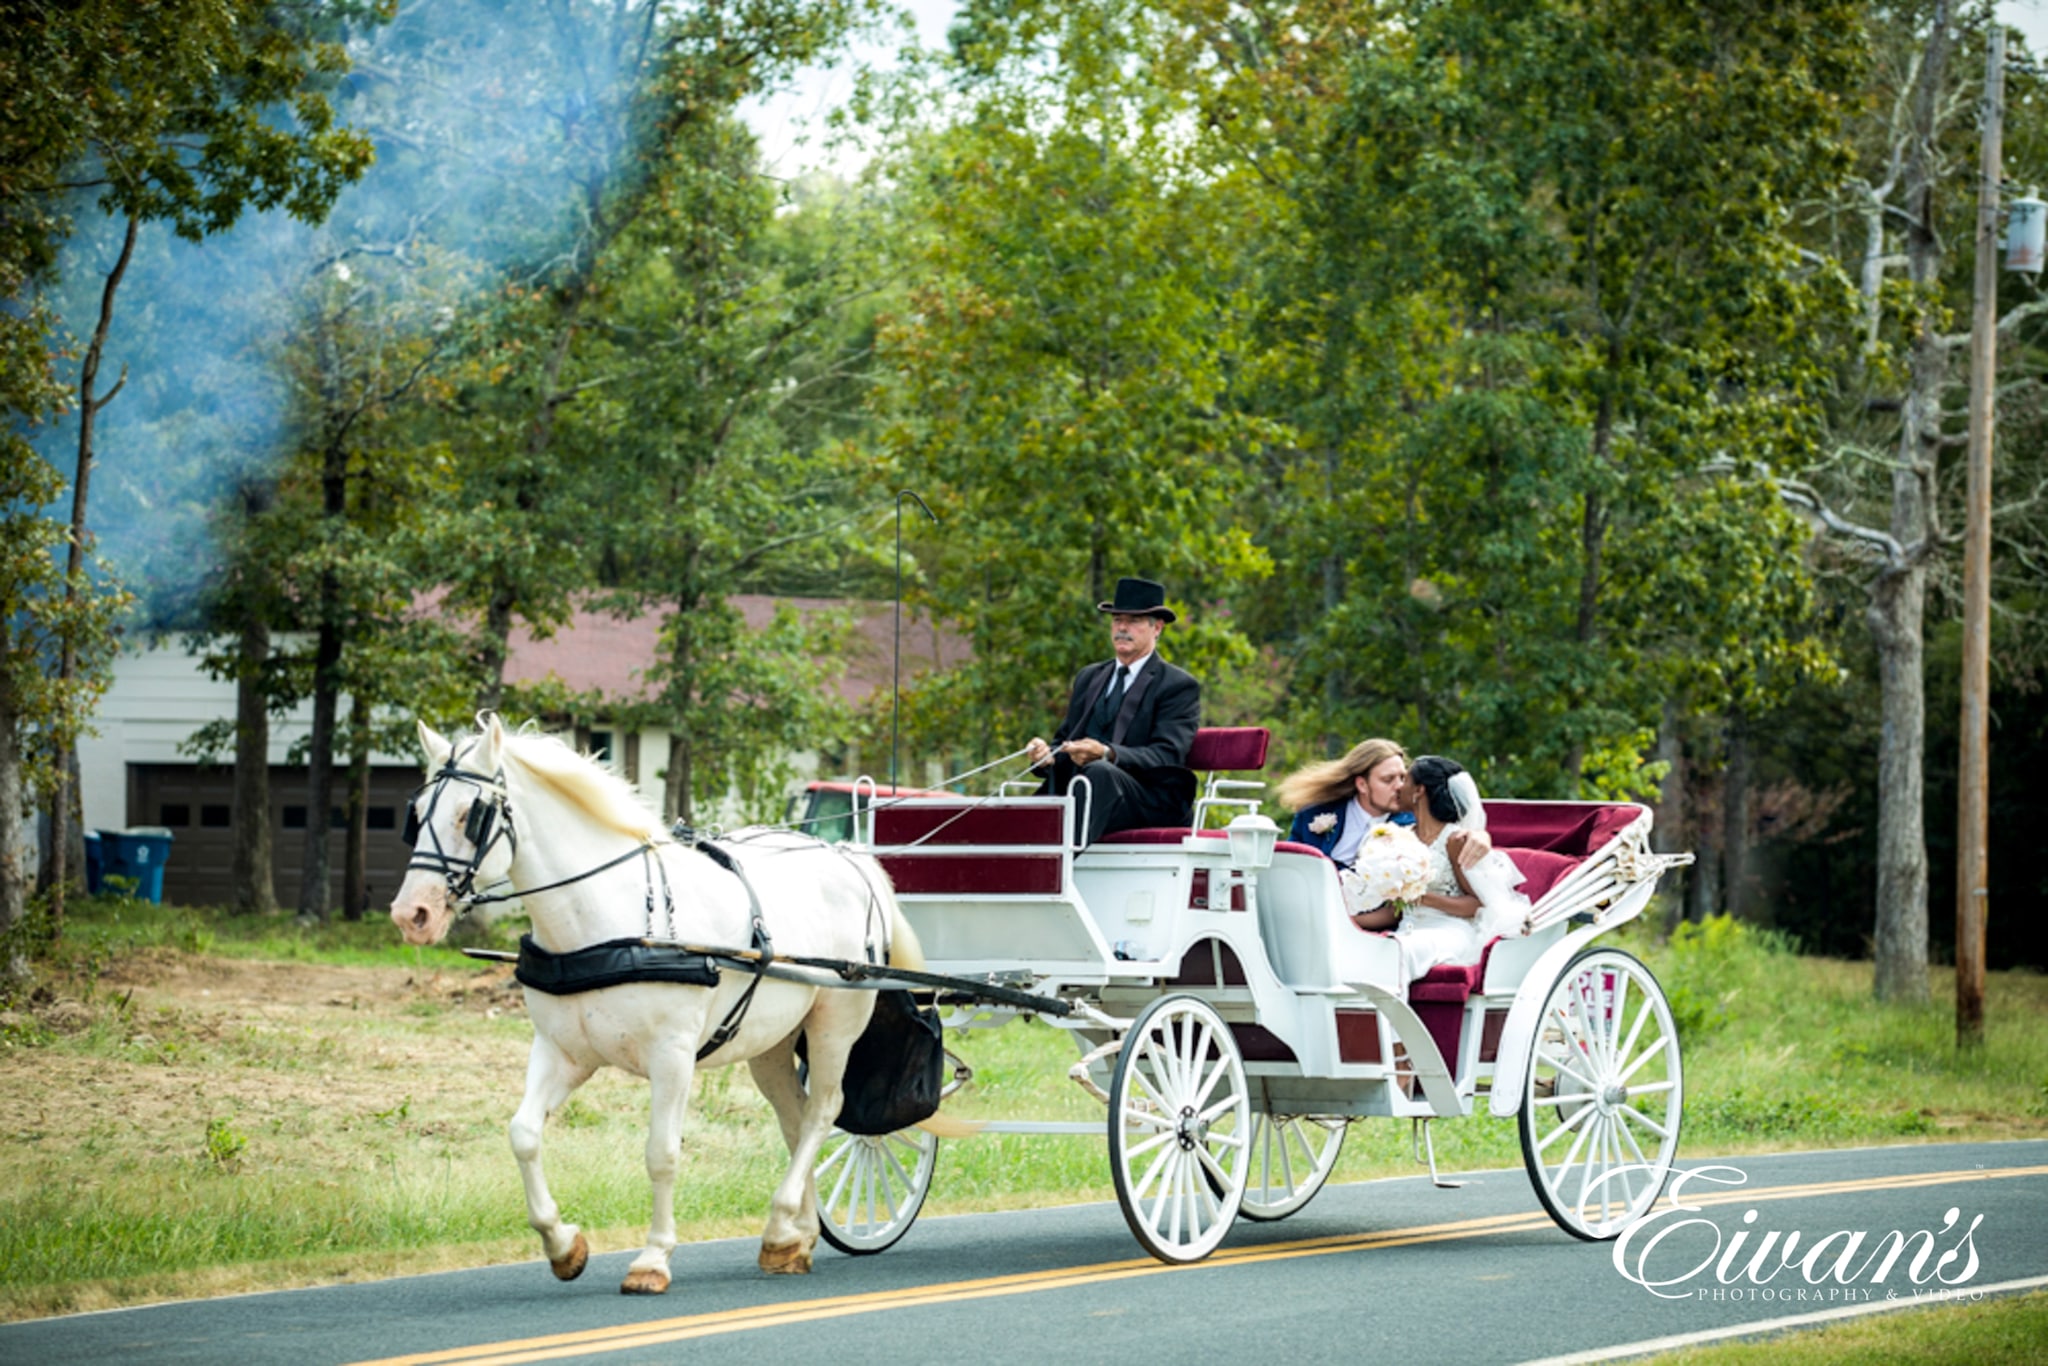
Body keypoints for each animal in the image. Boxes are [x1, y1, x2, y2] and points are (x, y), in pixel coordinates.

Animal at [391, 716, 921, 1294]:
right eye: (417, 813)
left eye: (473, 814)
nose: (411, 913)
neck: (610, 919)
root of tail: (846, 856)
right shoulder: (562, 1052)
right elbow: (524, 1134)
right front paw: (562, 1244)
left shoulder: (672, 1056)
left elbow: (662, 1153)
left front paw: (653, 1258)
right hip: (771, 1042)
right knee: (796, 1118)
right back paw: (791, 1237)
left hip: (835, 1023)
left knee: (825, 1111)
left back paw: (783, 1218)